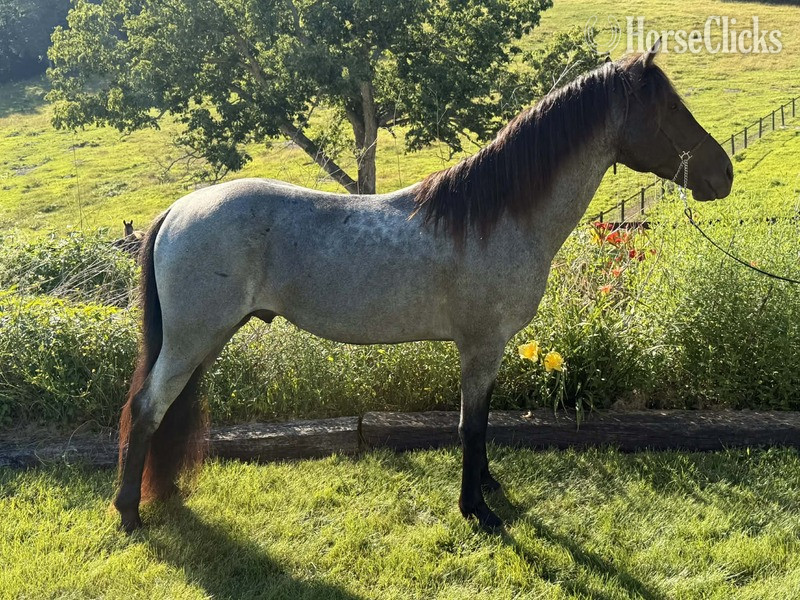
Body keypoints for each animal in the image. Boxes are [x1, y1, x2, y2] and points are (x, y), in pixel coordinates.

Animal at [114, 42, 733, 533]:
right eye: (669, 108)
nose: (723, 173)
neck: (494, 217)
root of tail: (177, 210)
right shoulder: (481, 346)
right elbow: (471, 425)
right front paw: (477, 508)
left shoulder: (489, 349)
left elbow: (478, 424)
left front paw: (487, 487)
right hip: (193, 340)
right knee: (147, 408)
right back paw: (128, 512)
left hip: (208, 339)